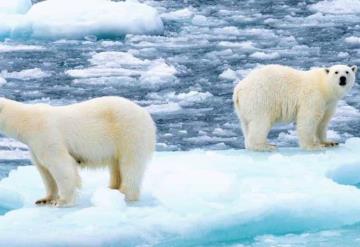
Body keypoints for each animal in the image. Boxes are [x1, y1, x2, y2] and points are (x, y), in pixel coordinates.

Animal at [0, 96, 155, 206]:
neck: (26, 122)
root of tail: (146, 115)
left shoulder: (46, 136)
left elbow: (61, 166)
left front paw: (62, 201)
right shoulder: (34, 146)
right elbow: (44, 171)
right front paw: (44, 199)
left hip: (130, 133)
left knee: (130, 165)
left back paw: (125, 194)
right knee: (116, 166)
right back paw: (111, 189)